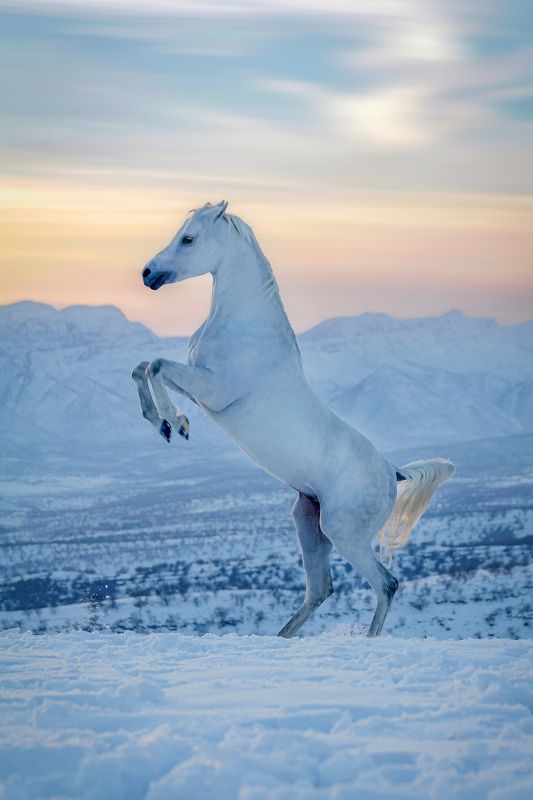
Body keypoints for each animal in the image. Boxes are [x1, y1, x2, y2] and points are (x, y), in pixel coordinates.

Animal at [132, 200, 455, 637]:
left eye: (188, 238)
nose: (148, 274)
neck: (246, 328)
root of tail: (394, 472)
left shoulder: (215, 391)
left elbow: (156, 366)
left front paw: (175, 424)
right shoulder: (199, 388)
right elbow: (143, 367)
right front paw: (163, 423)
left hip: (343, 532)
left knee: (386, 583)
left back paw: (366, 641)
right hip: (309, 525)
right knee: (321, 589)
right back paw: (281, 638)